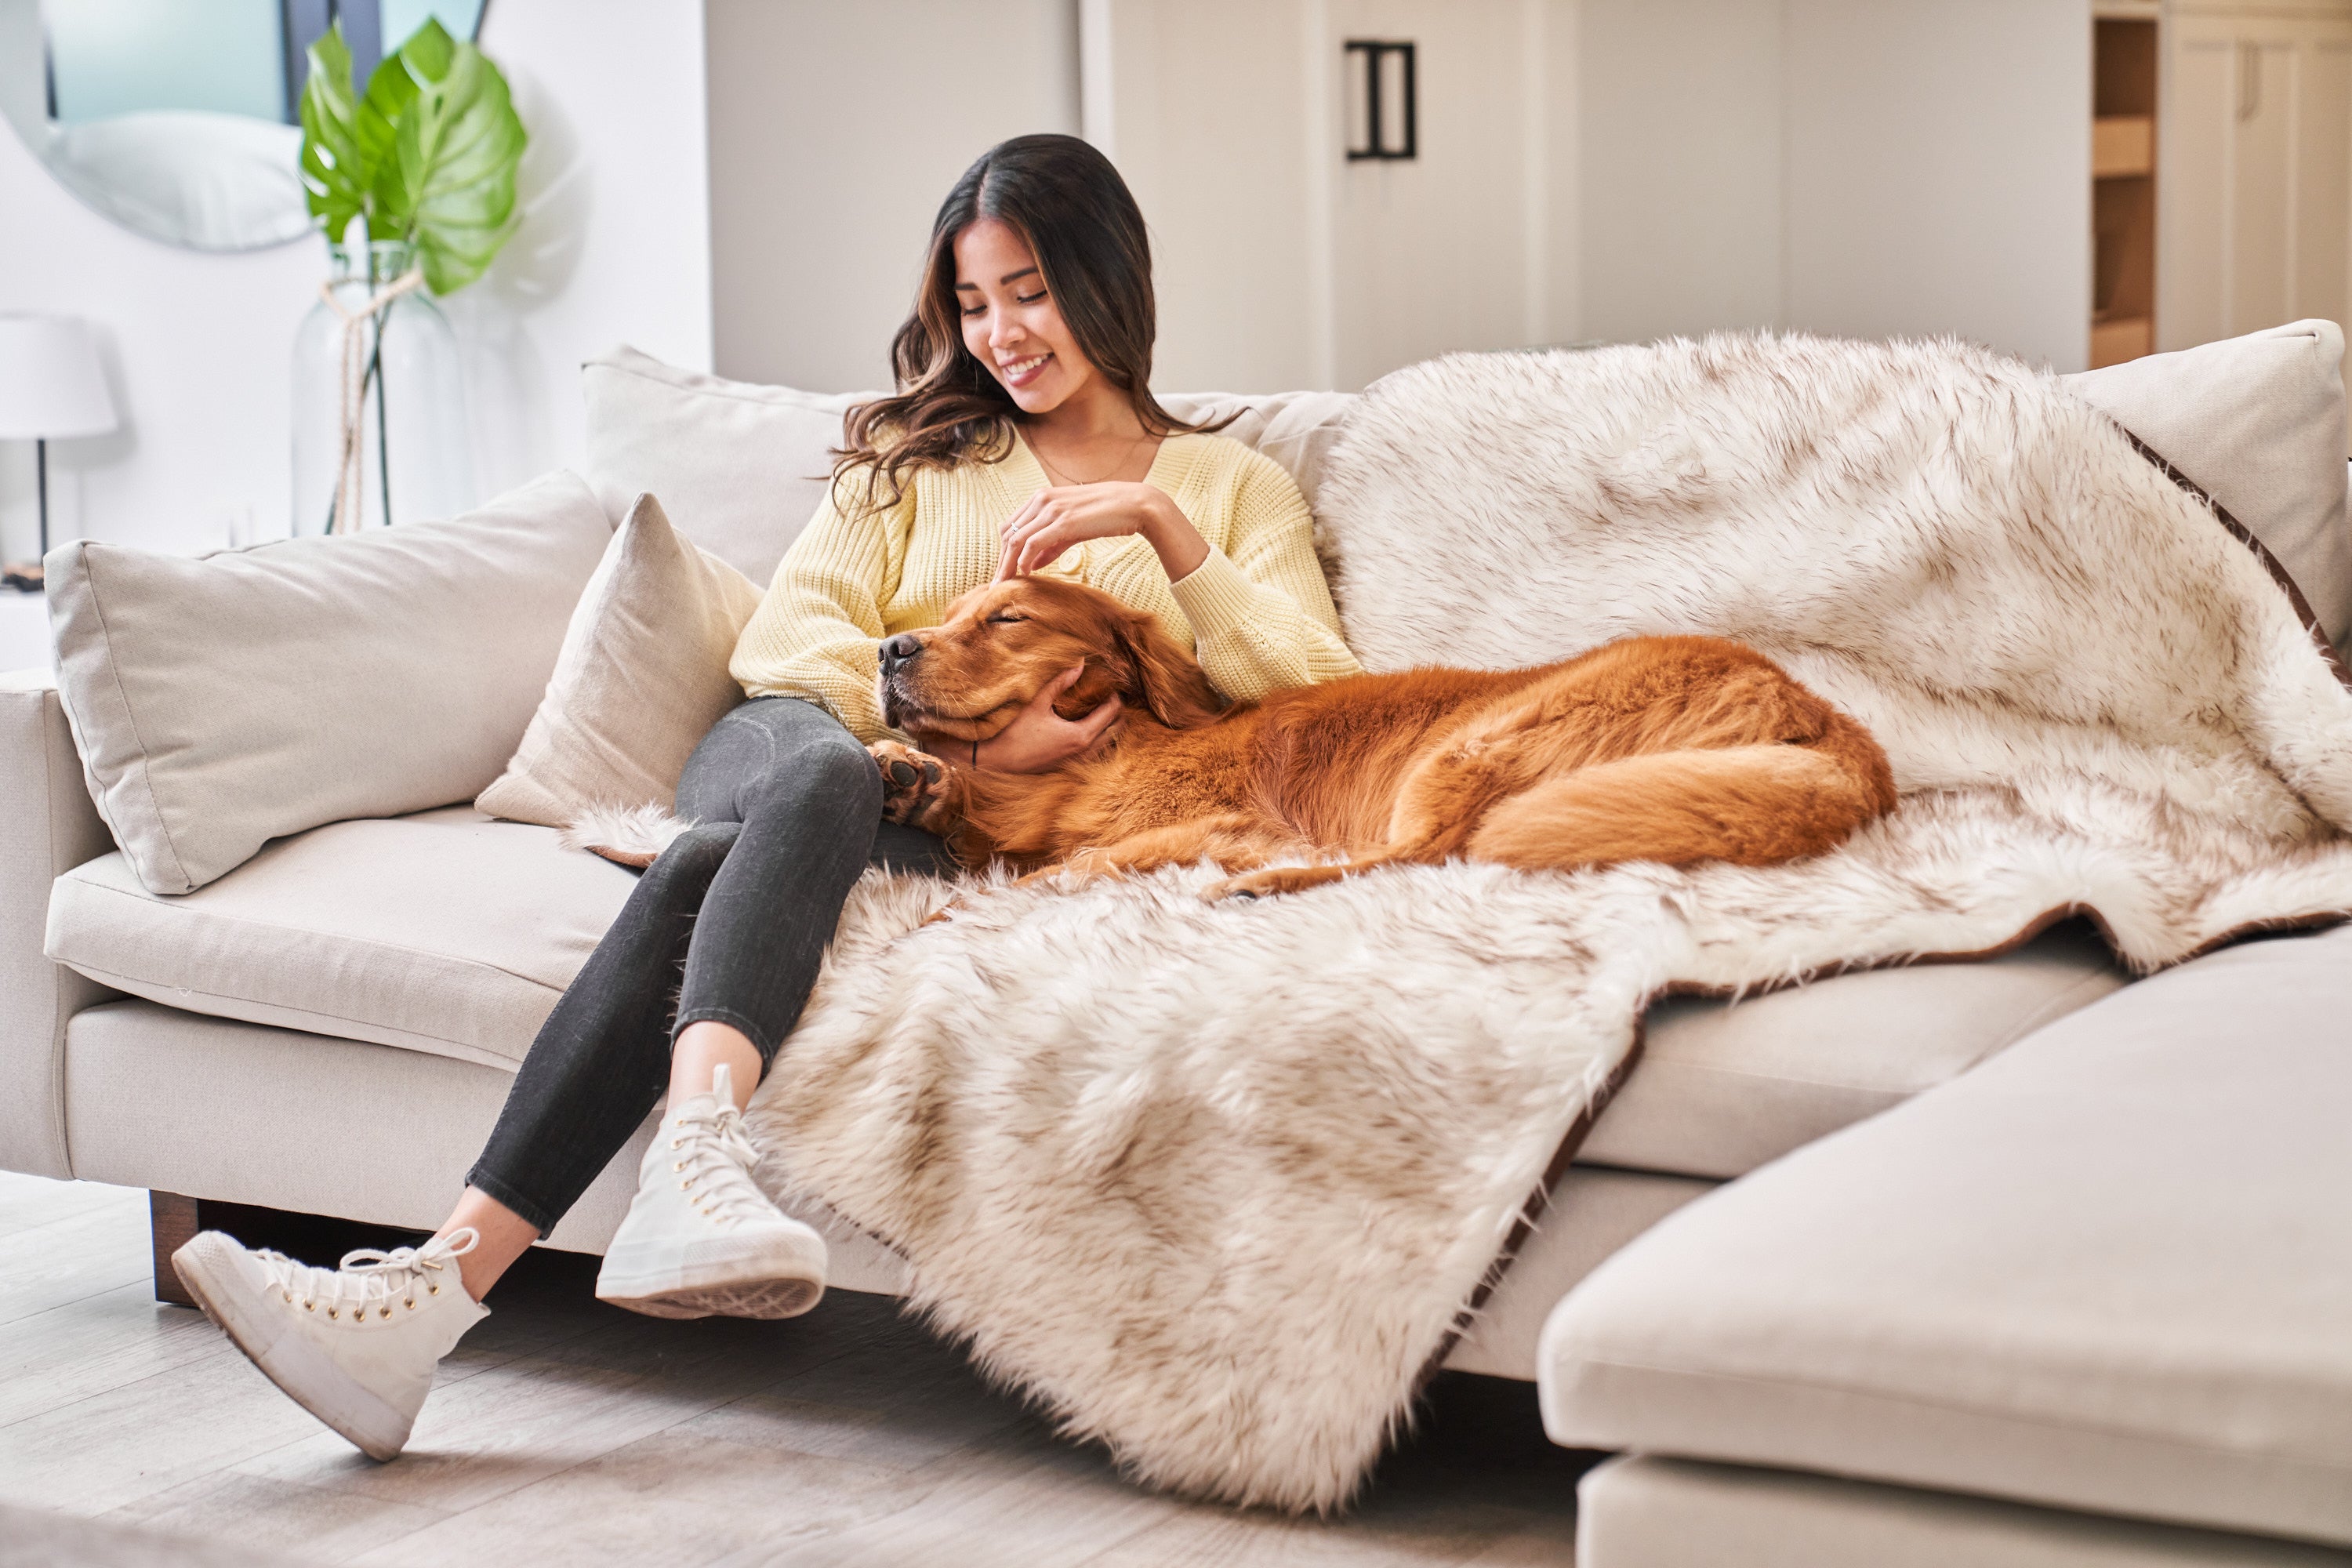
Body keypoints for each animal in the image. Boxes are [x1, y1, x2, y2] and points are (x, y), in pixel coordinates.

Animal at [875, 580, 1900, 902]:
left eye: (1007, 617)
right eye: (947, 613)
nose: (889, 649)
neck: (1100, 752)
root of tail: (1832, 723)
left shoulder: (1214, 823)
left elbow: (1058, 867)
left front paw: (947, 915)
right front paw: (911, 778)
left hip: (1469, 749)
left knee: (1429, 853)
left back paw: (1267, 886)